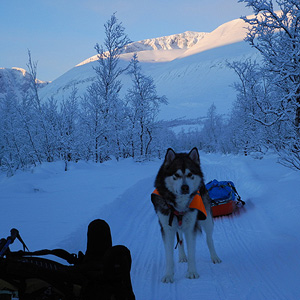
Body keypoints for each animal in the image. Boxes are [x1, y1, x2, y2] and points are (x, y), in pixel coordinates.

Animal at [151, 148, 221, 284]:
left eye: (190, 174)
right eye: (176, 175)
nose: (185, 187)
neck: (179, 205)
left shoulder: (190, 227)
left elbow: (192, 252)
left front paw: (192, 272)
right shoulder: (167, 228)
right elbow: (169, 255)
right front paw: (169, 275)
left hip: (207, 219)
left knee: (209, 239)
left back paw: (214, 256)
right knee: (180, 239)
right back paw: (183, 256)